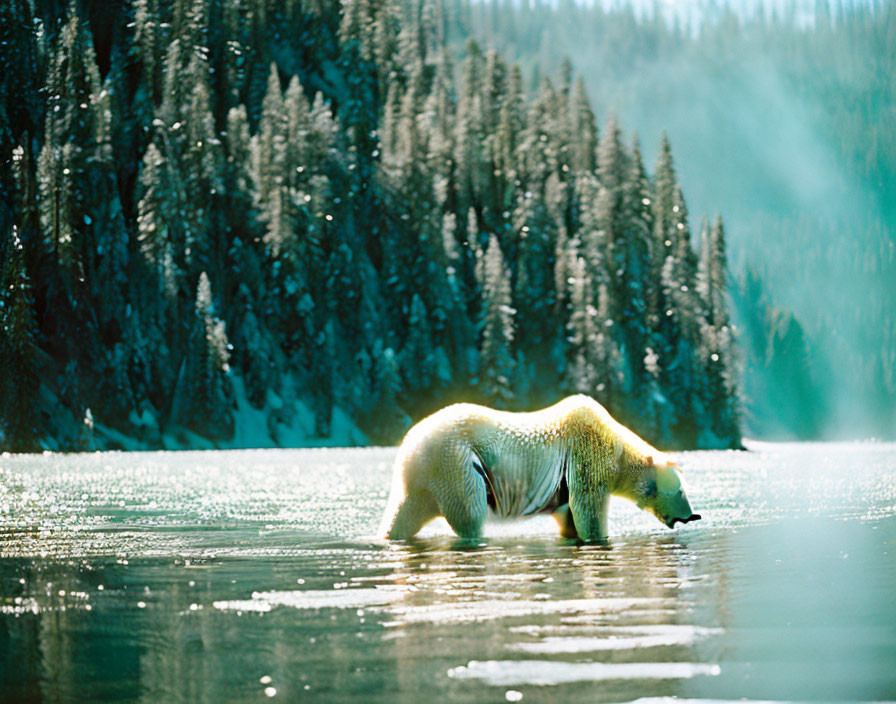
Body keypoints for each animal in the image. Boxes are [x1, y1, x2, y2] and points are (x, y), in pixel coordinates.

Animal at [378, 396, 700, 540]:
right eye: (681, 490)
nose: (692, 516)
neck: (615, 447)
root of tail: (408, 448)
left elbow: (568, 514)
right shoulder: (586, 454)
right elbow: (589, 509)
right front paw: (598, 537)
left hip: (423, 481)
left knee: (404, 514)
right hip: (456, 463)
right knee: (469, 511)